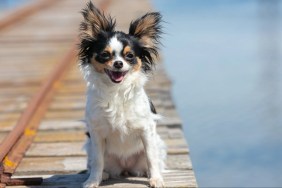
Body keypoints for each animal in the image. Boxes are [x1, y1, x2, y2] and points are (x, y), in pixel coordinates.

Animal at [78, 2, 166, 187]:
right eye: (105, 55)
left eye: (130, 56)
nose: (118, 63)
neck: (116, 90)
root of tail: (125, 168)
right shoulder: (96, 133)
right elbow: (97, 160)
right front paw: (93, 181)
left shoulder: (147, 130)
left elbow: (151, 157)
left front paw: (156, 179)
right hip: (92, 147)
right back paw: (104, 174)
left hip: (157, 144)